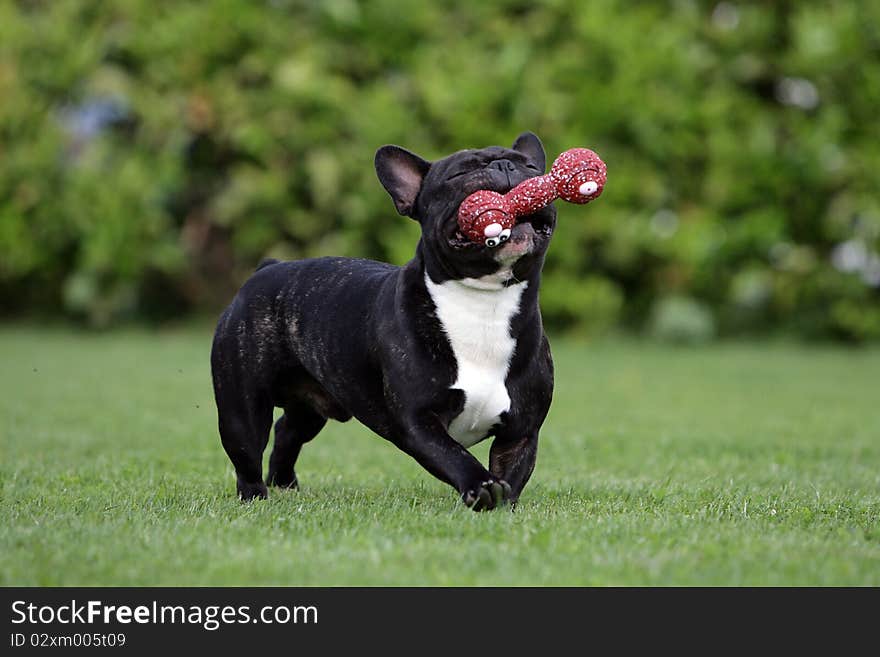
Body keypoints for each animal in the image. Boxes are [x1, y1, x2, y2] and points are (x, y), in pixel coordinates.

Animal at [210, 129, 552, 508]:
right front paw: (481, 486)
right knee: (247, 449)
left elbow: (513, 470)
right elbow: (453, 454)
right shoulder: (418, 421)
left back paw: (285, 483)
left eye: (532, 167)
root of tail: (267, 267)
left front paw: (504, 503)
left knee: (288, 430)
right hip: (242, 406)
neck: (483, 303)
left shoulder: (522, 430)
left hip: (308, 404)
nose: (505, 165)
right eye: (459, 174)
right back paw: (255, 495)